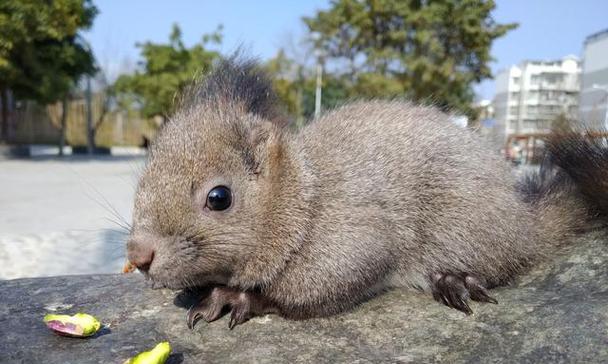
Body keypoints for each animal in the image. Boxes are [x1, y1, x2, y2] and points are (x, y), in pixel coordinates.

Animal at [126, 56, 608, 330]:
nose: (138, 256)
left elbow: (307, 294)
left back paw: (455, 279)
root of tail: (524, 220)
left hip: (465, 226)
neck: (304, 198)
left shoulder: (354, 242)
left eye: (219, 197)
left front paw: (236, 298)